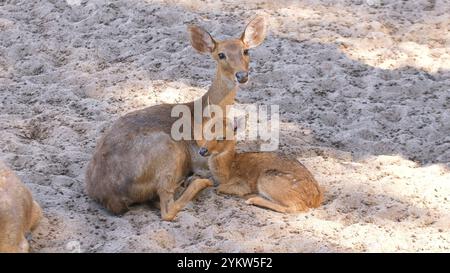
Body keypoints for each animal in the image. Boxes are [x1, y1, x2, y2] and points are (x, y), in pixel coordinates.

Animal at [85, 14, 268, 220]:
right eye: (221, 54)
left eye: (246, 50)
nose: (242, 75)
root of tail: (111, 197)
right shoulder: (200, 155)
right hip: (169, 150)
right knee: (167, 208)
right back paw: (197, 183)